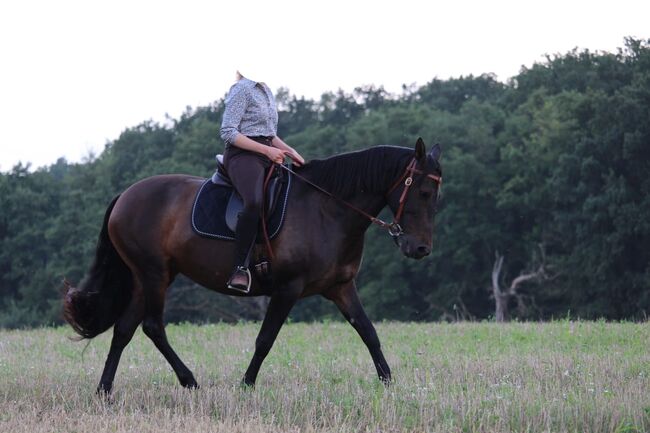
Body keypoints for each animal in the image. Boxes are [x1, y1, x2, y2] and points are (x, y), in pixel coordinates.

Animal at [63, 138, 442, 393]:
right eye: (423, 192)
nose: (421, 248)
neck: (327, 210)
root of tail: (125, 196)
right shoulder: (287, 289)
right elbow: (265, 339)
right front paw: (246, 384)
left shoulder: (340, 287)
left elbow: (368, 332)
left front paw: (389, 382)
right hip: (154, 274)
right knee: (153, 327)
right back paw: (189, 381)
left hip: (150, 277)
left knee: (125, 329)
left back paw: (105, 390)